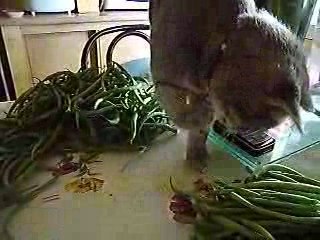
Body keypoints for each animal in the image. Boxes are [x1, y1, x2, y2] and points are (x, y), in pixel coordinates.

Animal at [149, 0, 314, 171]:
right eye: (249, 125)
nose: (235, 130)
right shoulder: (168, 80)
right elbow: (186, 113)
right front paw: (193, 123)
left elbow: (201, 128)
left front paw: (197, 156)